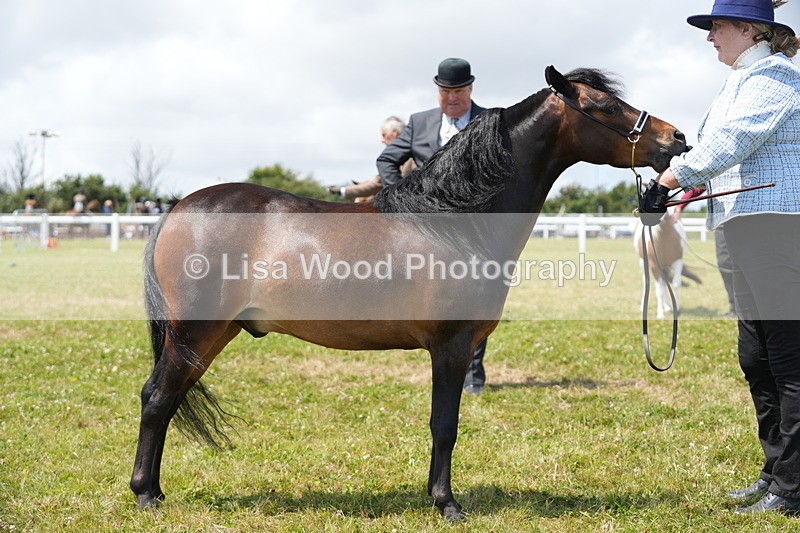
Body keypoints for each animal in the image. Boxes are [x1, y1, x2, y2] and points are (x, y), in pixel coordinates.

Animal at [130, 65, 688, 521]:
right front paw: (446, 503)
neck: (454, 219)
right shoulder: (451, 345)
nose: (676, 136)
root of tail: (178, 208)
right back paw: (146, 495)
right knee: (157, 398)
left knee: (169, 398)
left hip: (211, 335)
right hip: (195, 334)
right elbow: (445, 425)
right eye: (604, 106)